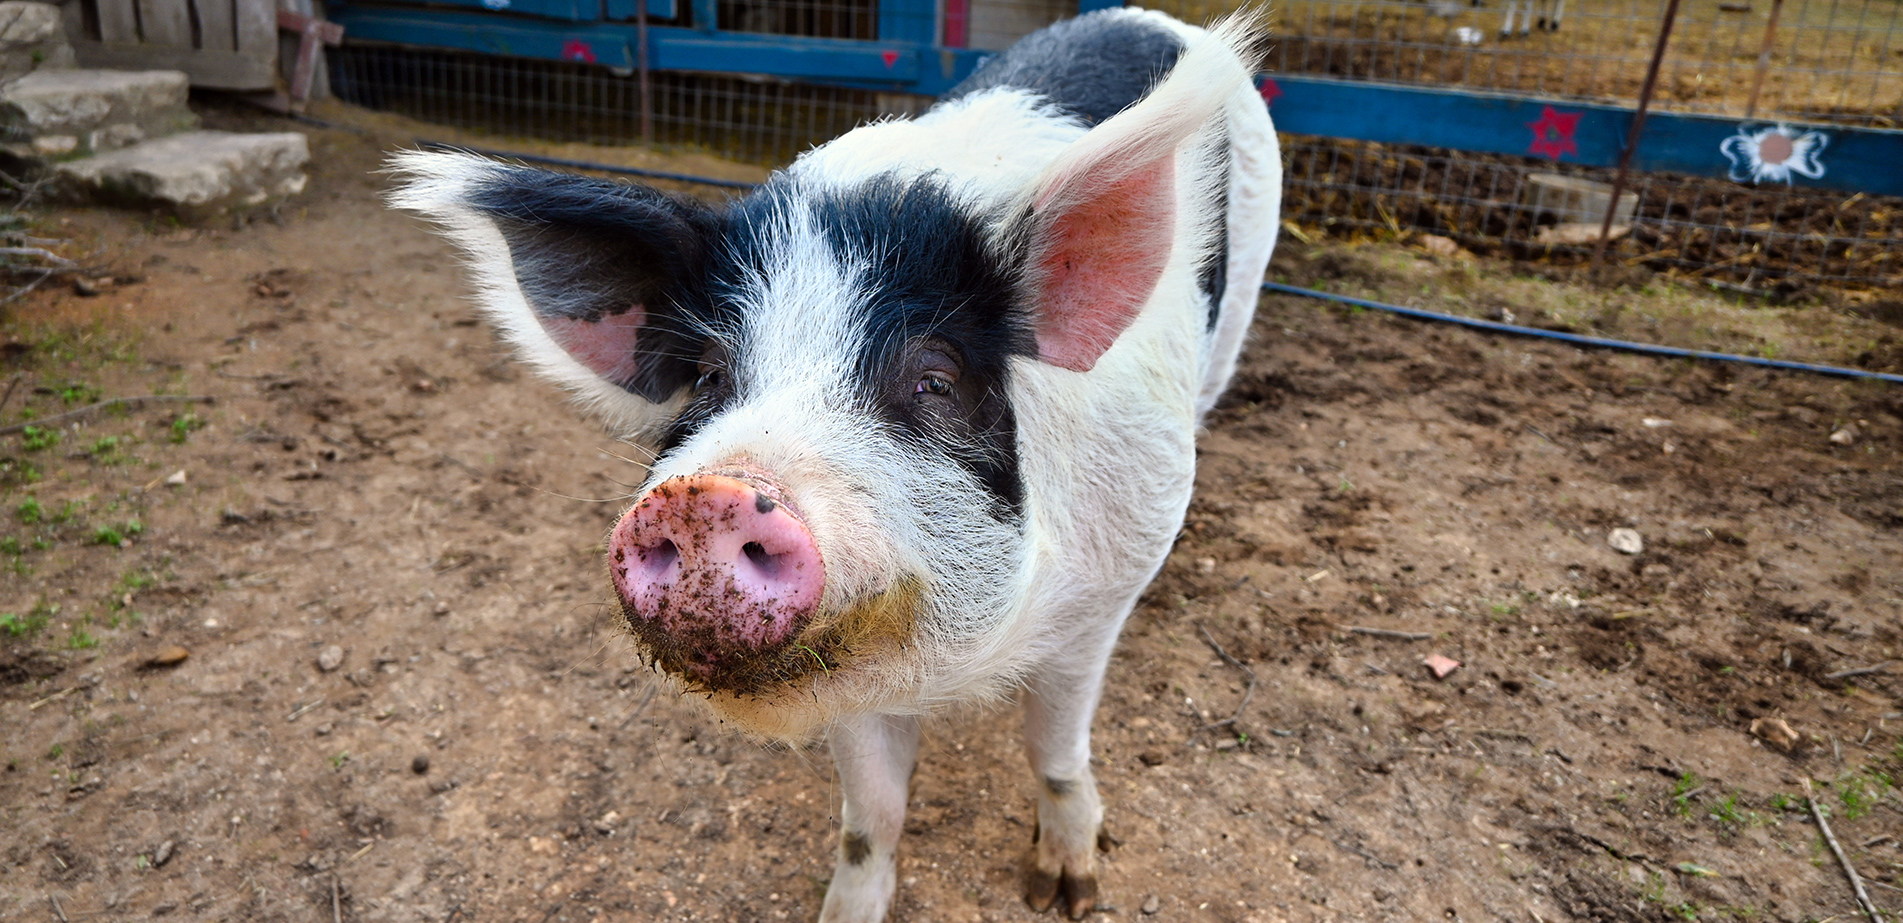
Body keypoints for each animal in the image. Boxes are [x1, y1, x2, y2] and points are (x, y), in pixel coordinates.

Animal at [386, 8, 1278, 921]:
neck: (954, 664)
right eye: (709, 375)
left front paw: (1064, 890)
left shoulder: (1105, 589)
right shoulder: (843, 666)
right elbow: (870, 809)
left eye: (934, 379)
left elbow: (1054, 748)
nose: (706, 496)